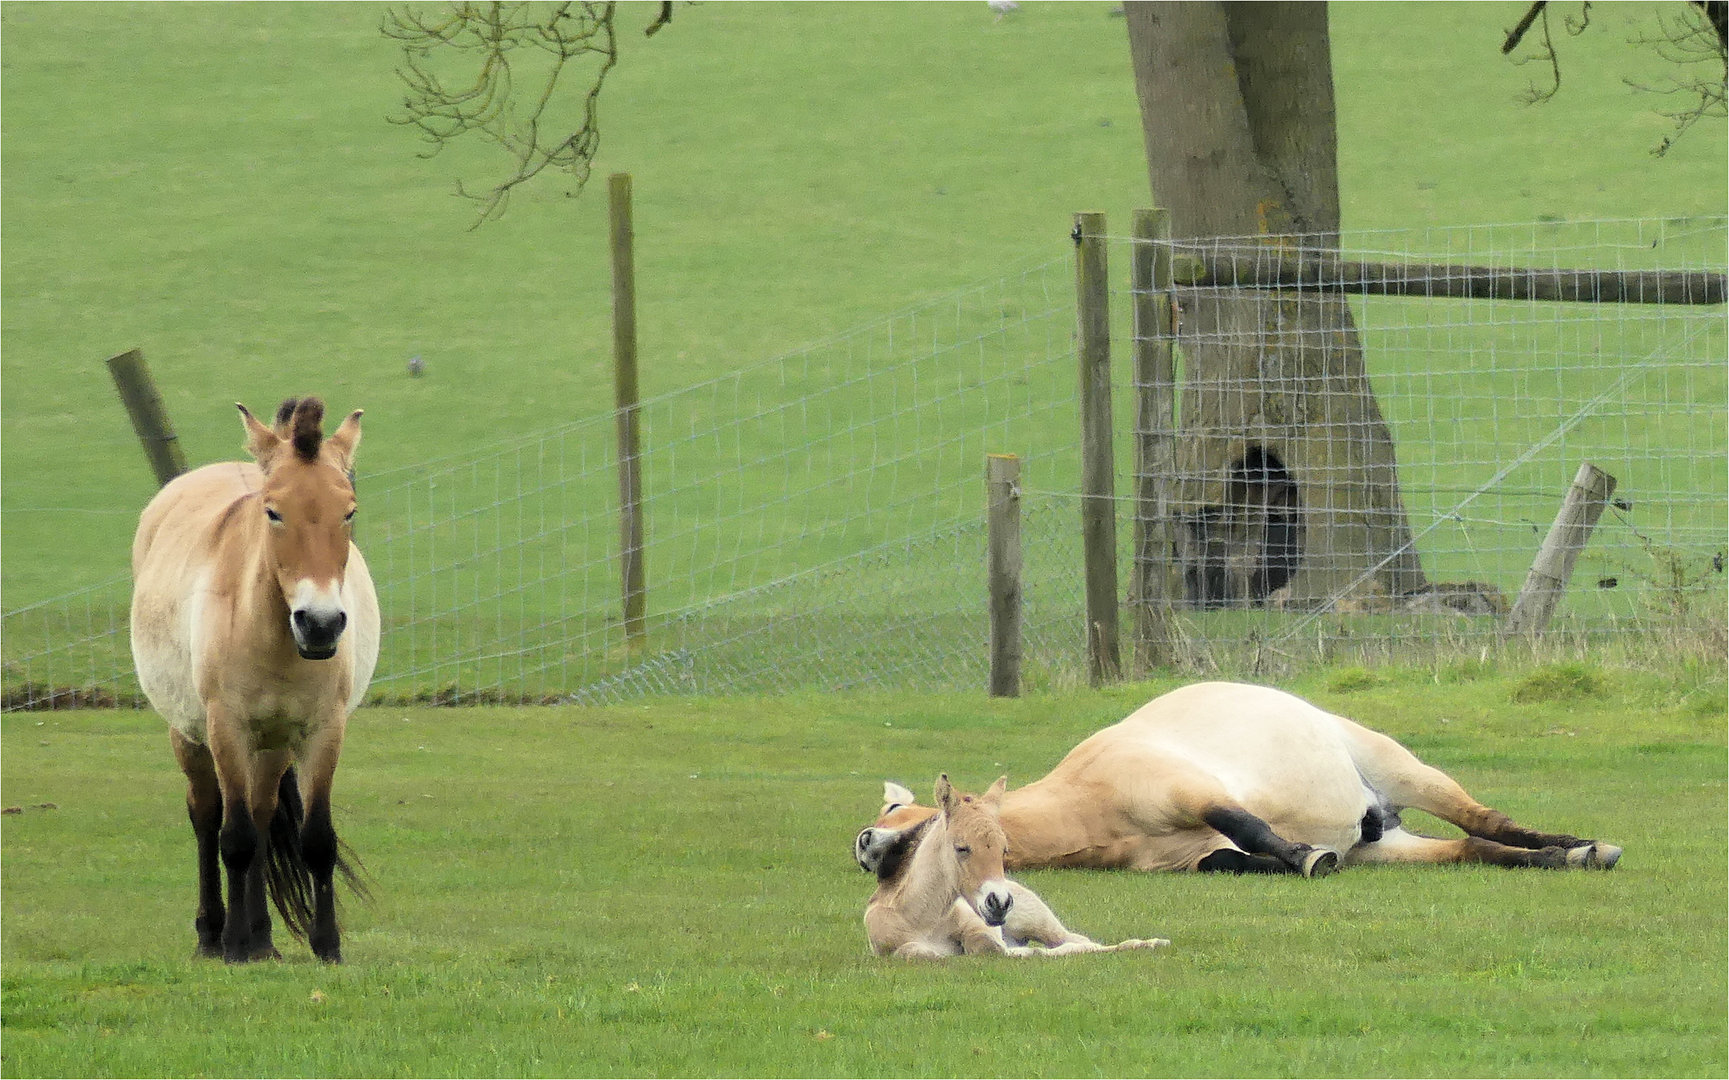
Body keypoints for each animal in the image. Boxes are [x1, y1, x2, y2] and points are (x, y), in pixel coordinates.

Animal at [130, 397, 379, 963]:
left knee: (264, 815)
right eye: (273, 511)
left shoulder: (322, 731)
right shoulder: (227, 729)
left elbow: (316, 839)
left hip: (273, 744)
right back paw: (214, 935)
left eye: (349, 511)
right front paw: (233, 948)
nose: (321, 623)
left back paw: (262, 938)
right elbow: (235, 838)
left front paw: (326, 946)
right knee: (207, 816)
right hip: (189, 734)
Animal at [858, 774, 1168, 959]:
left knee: (1076, 940)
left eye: (1003, 849)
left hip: (1039, 920)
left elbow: (991, 947)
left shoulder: (980, 928)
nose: (999, 902)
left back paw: (1149, 943)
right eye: (961, 847)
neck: (922, 917)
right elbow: (917, 952)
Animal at [865, 682, 1621, 877]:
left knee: (1486, 821)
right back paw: (1569, 855)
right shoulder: (1198, 860)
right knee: (1473, 847)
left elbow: (1249, 825)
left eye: (913, 818)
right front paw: (1300, 858)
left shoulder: (1193, 793)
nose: (864, 843)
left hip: (1403, 769)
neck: (1085, 802)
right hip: (1386, 846)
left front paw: (1307, 856)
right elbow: (1237, 858)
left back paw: (1581, 849)